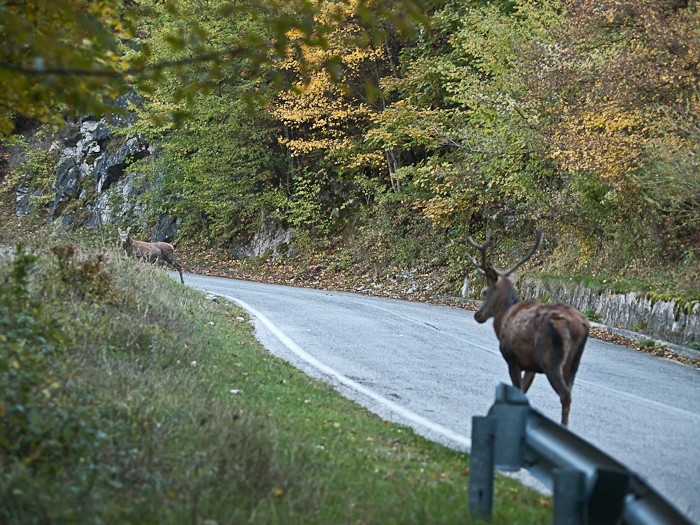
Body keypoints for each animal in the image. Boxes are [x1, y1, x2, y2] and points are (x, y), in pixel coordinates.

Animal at [468, 227, 588, 424]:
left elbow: (517, 391)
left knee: (565, 395)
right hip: (572, 364)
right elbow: (523, 392)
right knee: (569, 392)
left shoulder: (511, 356)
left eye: (484, 291)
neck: (503, 319)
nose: (478, 315)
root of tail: (579, 327)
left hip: (550, 359)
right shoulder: (531, 365)